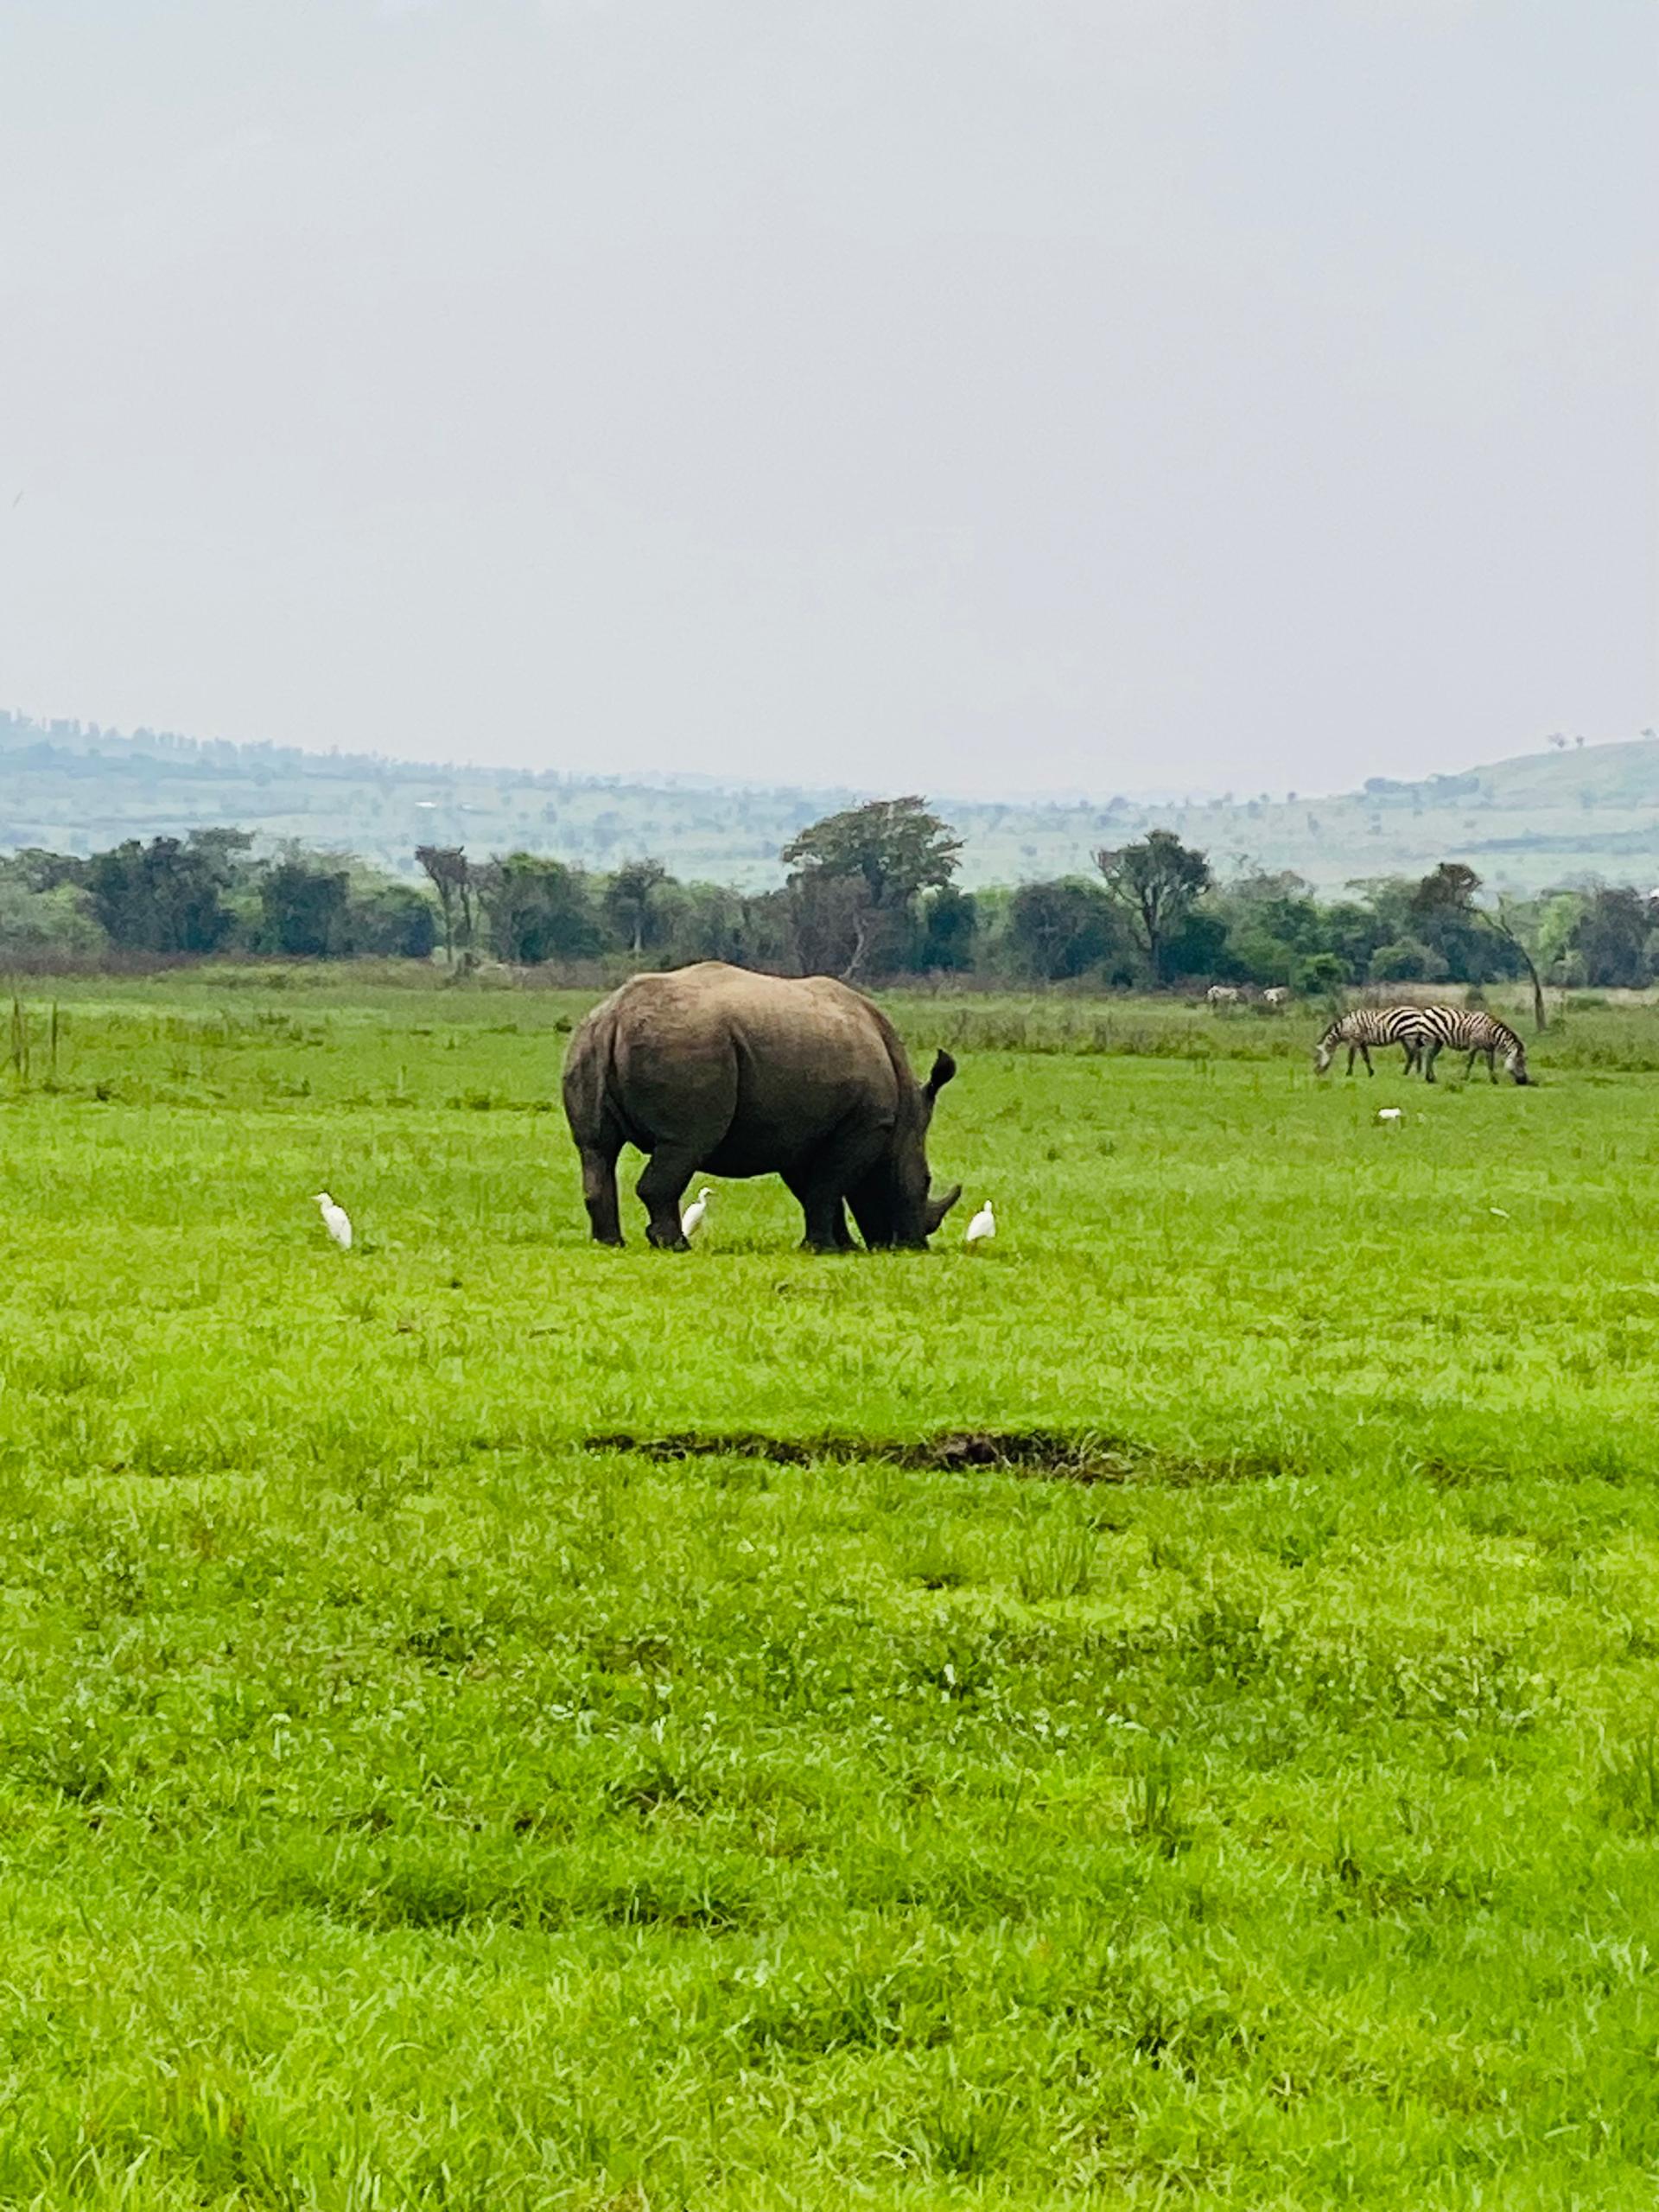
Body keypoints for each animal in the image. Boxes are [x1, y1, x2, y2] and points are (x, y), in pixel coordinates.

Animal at [562, 962, 961, 1251]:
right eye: (927, 1181)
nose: (914, 1246)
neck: (905, 1112)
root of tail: (614, 1015)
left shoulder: (800, 1133)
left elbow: (815, 1190)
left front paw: (838, 1247)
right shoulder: (867, 1125)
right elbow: (829, 1185)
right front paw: (826, 1249)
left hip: (586, 1042)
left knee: (596, 1148)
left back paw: (609, 1243)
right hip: (687, 1047)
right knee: (685, 1144)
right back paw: (675, 1246)